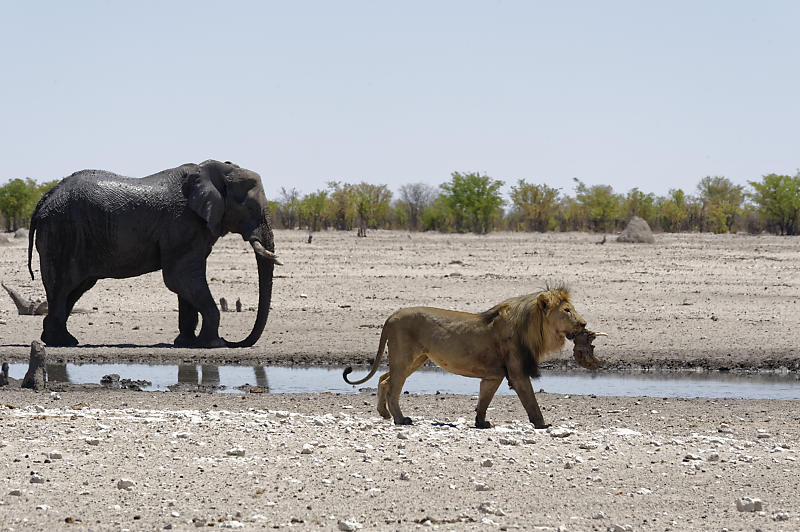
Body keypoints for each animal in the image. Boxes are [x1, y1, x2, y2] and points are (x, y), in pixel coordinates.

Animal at [27, 158, 282, 350]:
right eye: (251, 207)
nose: (233, 342)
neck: (212, 171)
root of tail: (43, 199)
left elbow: (186, 284)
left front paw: (186, 343)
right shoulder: (182, 223)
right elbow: (180, 277)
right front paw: (214, 344)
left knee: (74, 289)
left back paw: (57, 340)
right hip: (62, 232)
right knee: (62, 287)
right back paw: (62, 342)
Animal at [340, 286, 592, 428]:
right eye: (567, 310)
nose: (583, 323)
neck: (533, 327)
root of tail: (392, 315)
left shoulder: (493, 376)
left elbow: (484, 400)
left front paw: (481, 423)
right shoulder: (517, 373)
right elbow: (531, 401)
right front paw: (543, 423)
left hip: (415, 359)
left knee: (384, 379)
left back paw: (384, 414)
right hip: (404, 358)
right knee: (393, 387)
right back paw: (400, 419)